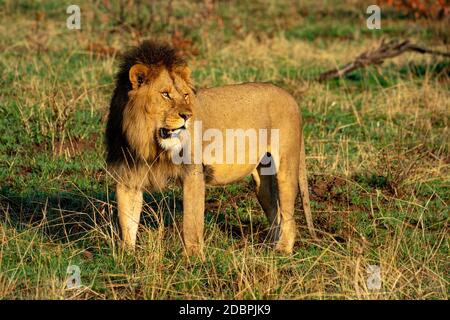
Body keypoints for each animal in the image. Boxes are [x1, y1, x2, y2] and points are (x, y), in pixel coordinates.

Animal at [106, 40, 316, 255]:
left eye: (185, 95)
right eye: (165, 94)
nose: (188, 116)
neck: (149, 145)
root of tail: (291, 98)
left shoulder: (193, 172)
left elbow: (191, 222)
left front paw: (193, 257)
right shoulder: (127, 176)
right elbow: (127, 222)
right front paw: (126, 256)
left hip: (286, 168)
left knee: (289, 216)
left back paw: (282, 251)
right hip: (262, 181)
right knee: (275, 211)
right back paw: (269, 248)